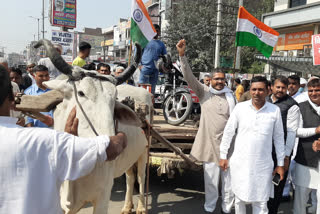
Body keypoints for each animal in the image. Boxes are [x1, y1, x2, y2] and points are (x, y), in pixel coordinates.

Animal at [35, 39, 151, 213]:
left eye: (114, 99)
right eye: (81, 93)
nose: (114, 145)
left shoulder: (102, 197)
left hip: (144, 151)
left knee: (141, 177)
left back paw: (141, 207)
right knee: (130, 177)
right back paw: (126, 206)